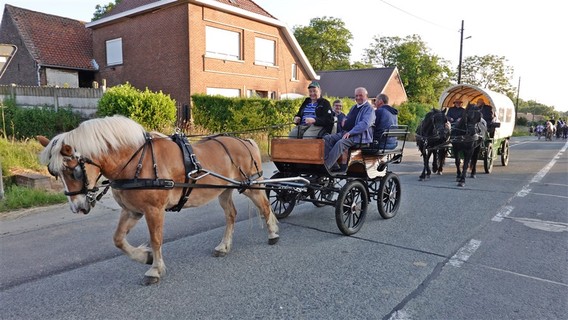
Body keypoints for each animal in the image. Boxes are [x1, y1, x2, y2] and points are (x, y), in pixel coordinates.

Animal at [37, 115, 280, 284]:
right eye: (55, 173)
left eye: (74, 172)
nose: (77, 207)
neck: (135, 161)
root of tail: (245, 141)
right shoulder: (132, 210)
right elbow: (118, 240)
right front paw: (144, 257)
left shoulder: (154, 210)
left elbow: (156, 239)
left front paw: (154, 269)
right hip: (223, 190)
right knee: (231, 215)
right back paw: (224, 246)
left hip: (251, 186)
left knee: (265, 207)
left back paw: (273, 234)